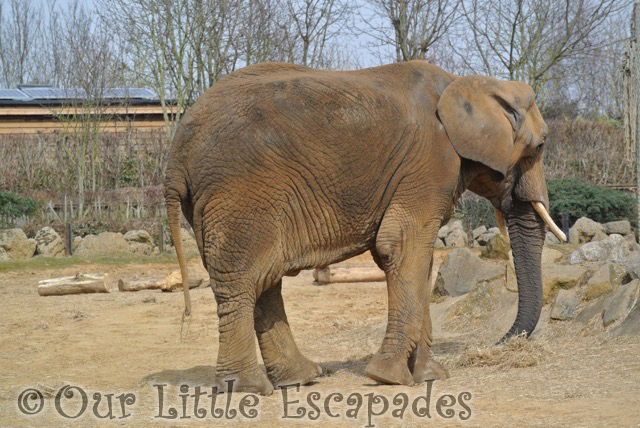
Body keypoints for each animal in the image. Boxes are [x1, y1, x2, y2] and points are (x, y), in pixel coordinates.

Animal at [165, 59, 564, 394]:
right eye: (540, 146)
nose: (497, 342)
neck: (469, 82)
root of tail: (176, 153)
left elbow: (416, 260)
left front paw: (430, 375)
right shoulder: (429, 164)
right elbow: (402, 246)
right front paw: (390, 378)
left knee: (265, 280)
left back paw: (301, 378)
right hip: (239, 192)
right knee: (244, 279)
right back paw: (249, 388)